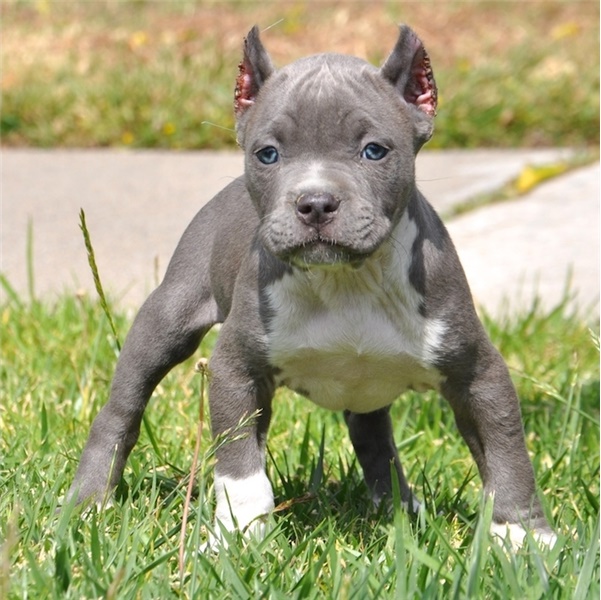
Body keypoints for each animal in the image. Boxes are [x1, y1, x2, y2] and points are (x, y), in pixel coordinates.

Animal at [67, 24, 552, 548]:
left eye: (374, 150)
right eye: (268, 154)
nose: (315, 202)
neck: (348, 280)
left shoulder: (478, 373)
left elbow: (507, 452)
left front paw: (524, 538)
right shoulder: (235, 371)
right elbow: (240, 466)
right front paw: (237, 535)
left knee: (373, 437)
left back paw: (401, 511)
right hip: (167, 318)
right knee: (123, 410)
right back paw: (89, 503)